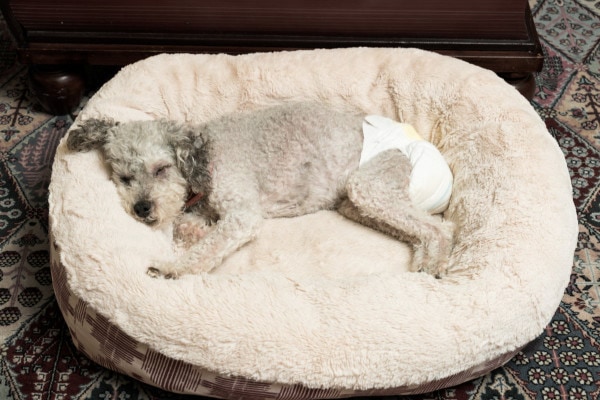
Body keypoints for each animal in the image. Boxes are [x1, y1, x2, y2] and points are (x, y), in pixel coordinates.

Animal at [67, 103, 450, 278]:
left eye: (161, 169)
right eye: (124, 178)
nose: (142, 209)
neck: (203, 159)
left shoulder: (241, 214)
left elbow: (208, 247)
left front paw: (172, 268)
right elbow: (190, 227)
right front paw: (197, 229)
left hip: (370, 183)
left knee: (440, 228)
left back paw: (433, 266)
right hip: (357, 203)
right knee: (422, 227)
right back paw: (423, 261)